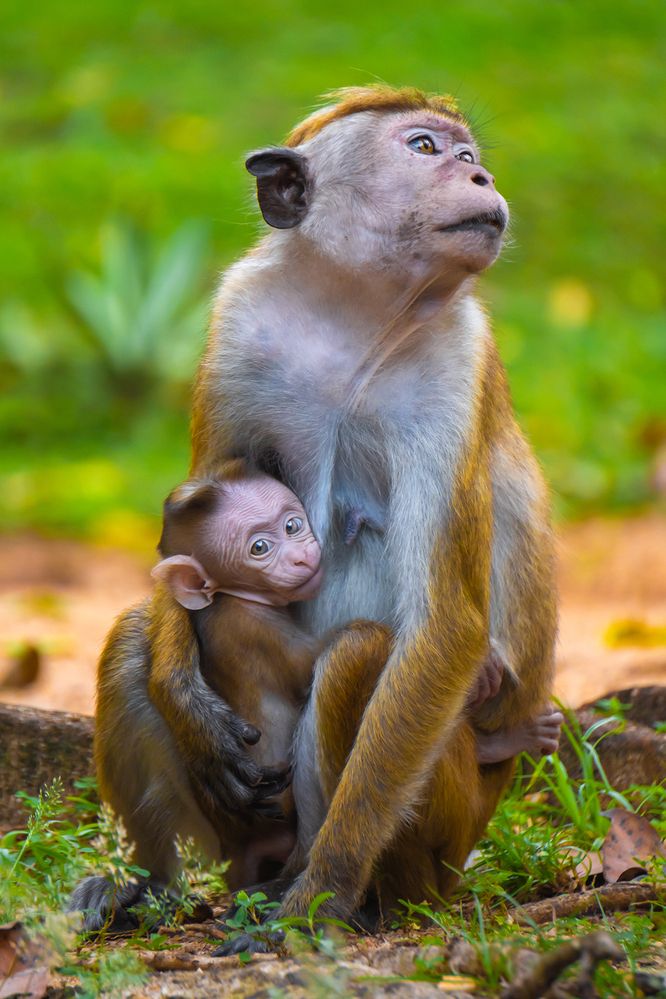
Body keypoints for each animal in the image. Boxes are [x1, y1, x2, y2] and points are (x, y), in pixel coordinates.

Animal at [72, 85, 558, 940]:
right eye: (427, 148)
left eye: (467, 155)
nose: (482, 176)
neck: (357, 321)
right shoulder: (240, 324)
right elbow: (183, 530)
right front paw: (185, 697)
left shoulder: (456, 364)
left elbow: (446, 628)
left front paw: (323, 892)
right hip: (234, 831)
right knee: (131, 631)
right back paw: (155, 887)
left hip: (446, 822)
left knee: (359, 658)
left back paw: (350, 898)